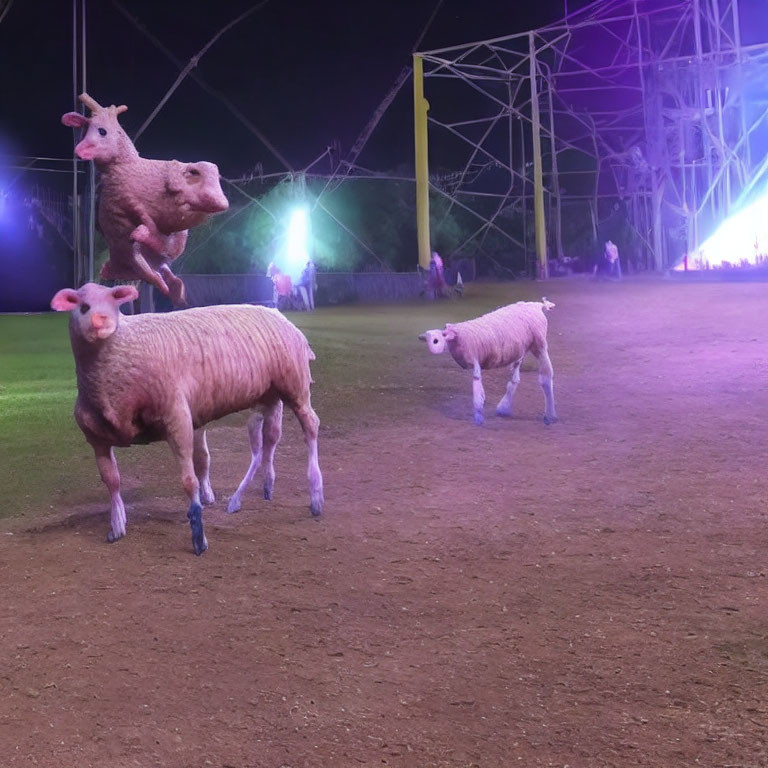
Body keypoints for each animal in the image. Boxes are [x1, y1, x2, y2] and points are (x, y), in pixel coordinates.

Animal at [48, 280, 324, 552]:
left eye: (114, 303)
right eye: (83, 306)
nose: (100, 321)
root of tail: (280, 316)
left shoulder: (177, 418)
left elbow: (189, 480)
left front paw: (198, 534)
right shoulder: (97, 439)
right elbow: (112, 481)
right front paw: (116, 525)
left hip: (295, 383)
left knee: (310, 425)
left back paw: (315, 494)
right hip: (269, 395)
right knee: (269, 440)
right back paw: (260, 490)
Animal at [60, 91, 228, 304]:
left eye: (102, 131)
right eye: (83, 131)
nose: (80, 150)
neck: (122, 166)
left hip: (161, 251)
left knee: (164, 266)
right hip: (134, 258)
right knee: (154, 273)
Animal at [420, 296, 560, 426]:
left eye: (436, 340)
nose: (434, 347)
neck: (458, 336)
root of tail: (537, 305)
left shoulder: (475, 361)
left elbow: (477, 390)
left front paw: (478, 417)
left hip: (539, 345)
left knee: (546, 376)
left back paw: (549, 415)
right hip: (520, 350)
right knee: (515, 378)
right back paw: (504, 408)